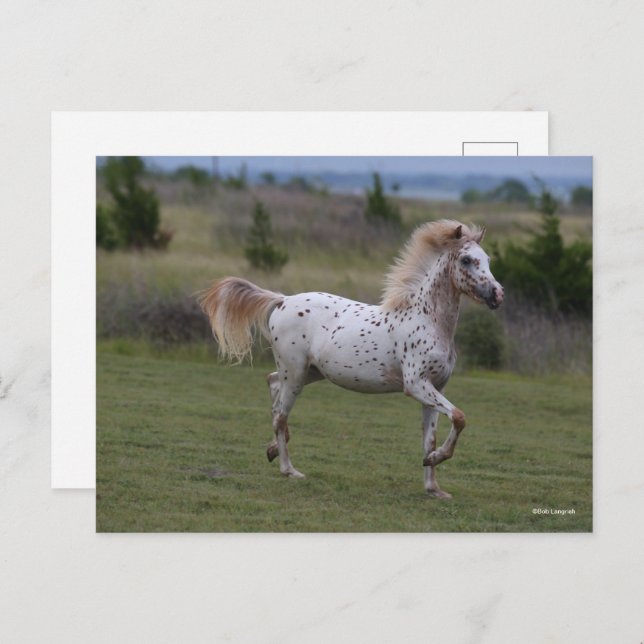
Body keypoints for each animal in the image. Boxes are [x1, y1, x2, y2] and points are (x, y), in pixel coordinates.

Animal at [198, 219, 503, 498]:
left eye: (488, 259)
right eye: (466, 260)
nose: (497, 294)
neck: (427, 320)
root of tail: (283, 300)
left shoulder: (435, 388)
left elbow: (430, 438)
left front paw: (433, 486)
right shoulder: (416, 385)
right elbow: (460, 418)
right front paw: (435, 464)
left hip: (309, 372)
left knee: (272, 386)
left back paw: (272, 449)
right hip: (295, 373)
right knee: (280, 416)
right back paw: (289, 470)